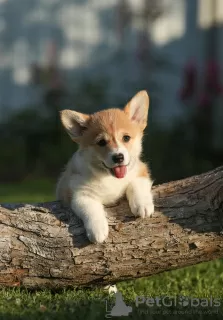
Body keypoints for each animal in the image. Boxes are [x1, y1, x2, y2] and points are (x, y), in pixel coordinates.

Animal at [55, 90, 154, 242]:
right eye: (101, 142)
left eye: (126, 138)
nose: (118, 157)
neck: (110, 178)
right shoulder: (80, 194)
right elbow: (91, 209)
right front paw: (97, 230)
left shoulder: (140, 170)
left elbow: (136, 185)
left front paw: (142, 205)